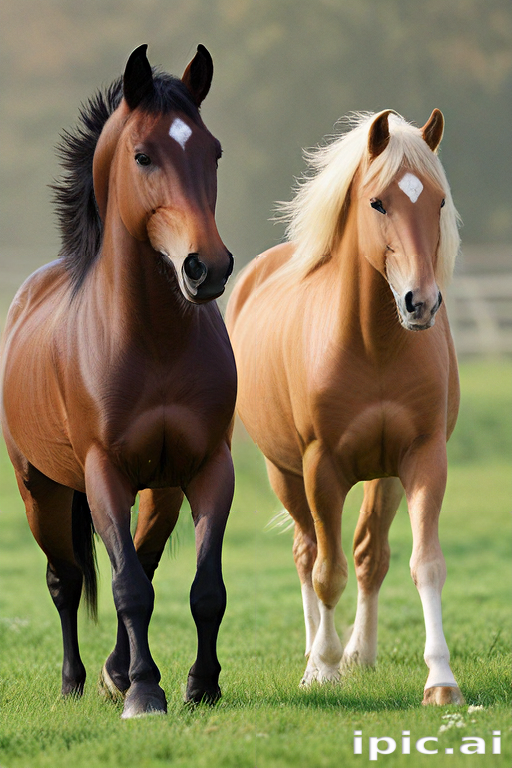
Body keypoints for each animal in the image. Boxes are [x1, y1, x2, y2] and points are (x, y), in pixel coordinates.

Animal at [0, 44, 237, 718]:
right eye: (143, 156)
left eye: (213, 151)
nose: (207, 268)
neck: (154, 341)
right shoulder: (103, 471)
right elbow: (126, 585)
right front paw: (145, 692)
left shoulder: (210, 466)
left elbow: (203, 588)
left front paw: (200, 685)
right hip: (40, 489)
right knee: (66, 579)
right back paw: (77, 680)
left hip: (160, 489)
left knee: (143, 558)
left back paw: (113, 671)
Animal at [226, 109, 465, 706]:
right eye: (378, 202)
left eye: (438, 201)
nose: (420, 303)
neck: (372, 345)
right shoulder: (321, 467)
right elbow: (325, 572)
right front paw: (324, 670)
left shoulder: (422, 459)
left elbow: (422, 564)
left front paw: (440, 679)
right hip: (285, 473)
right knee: (308, 553)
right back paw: (316, 655)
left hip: (384, 476)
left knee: (368, 556)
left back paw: (361, 652)